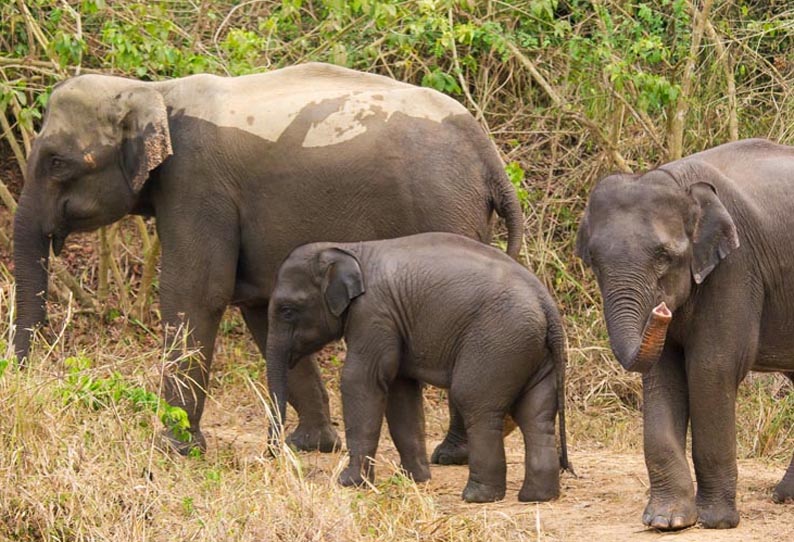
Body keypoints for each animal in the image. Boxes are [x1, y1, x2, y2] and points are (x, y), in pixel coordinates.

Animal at [13, 62, 520, 460]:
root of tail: (489, 155)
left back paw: (453, 453)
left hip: (442, 206)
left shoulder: (197, 184)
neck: (153, 90)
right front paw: (312, 445)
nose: (22, 380)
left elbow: (196, 293)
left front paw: (173, 449)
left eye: (57, 162)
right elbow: (259, 305)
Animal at [266, 232, 568, 504]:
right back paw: (537, 497)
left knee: (475, 403)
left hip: (498, 342)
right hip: (531, 350)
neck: (349, 248)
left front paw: (349, 483)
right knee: (536, 415)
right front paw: (414, 479)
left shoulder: (373, 314)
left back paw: (477, 497)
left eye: (287, 310)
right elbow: (401, 392)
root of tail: (546, 304)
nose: (272, 455)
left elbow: (360, 382)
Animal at [572, 139, 792, 532]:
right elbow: (663, 374)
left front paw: (716, 521)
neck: (679, 182)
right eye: (593, 260)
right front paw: (666, 521)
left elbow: (711, 368)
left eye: (664, 256)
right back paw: (784, 497)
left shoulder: (736, 267)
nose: (660, 311)